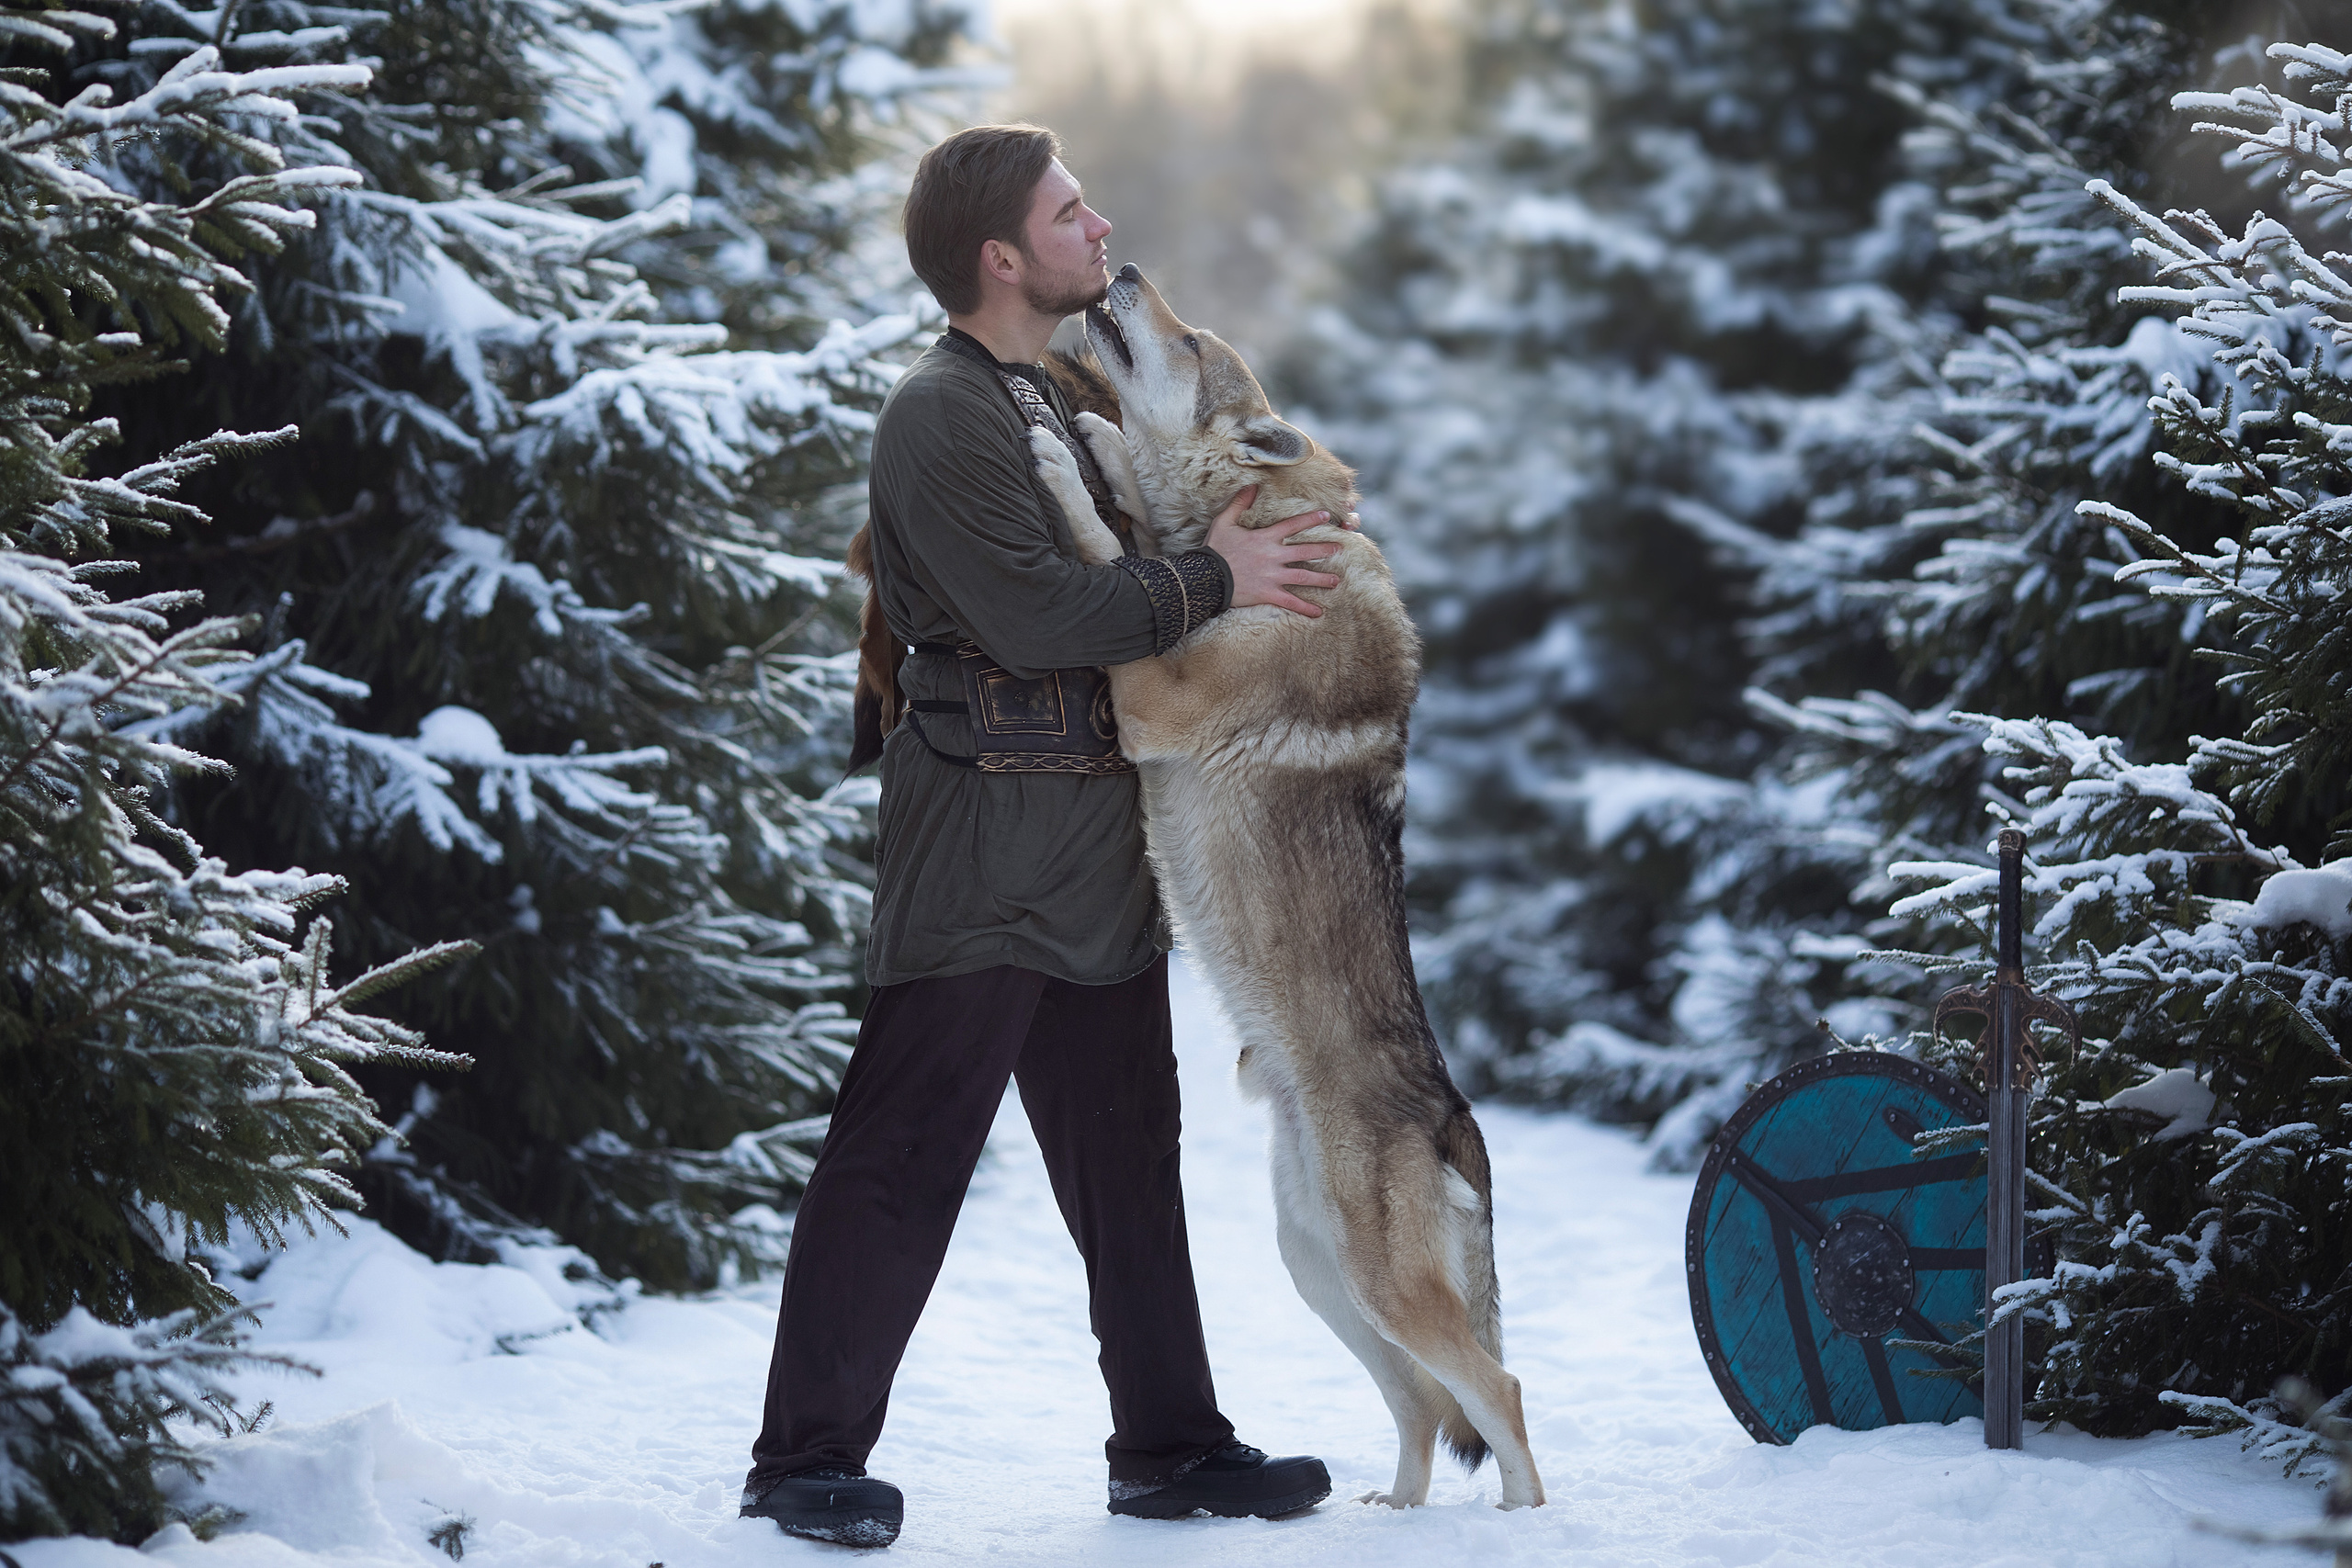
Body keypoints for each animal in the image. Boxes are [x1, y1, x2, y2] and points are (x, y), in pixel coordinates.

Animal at [1023, 263, 1546, 1512]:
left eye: (1193, 338)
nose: (1121, 269)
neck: (1264, 535)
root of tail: (1456, 1124)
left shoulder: (1149, 697)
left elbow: (1103, 545)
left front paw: (1065, 457)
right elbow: (1132, 525)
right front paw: (1100, 443)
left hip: (1375, 1285)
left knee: (1499, 1396)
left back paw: (1517, 1524)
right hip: (1323, 1278)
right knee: (1423, 1409)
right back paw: (1394, 1512)